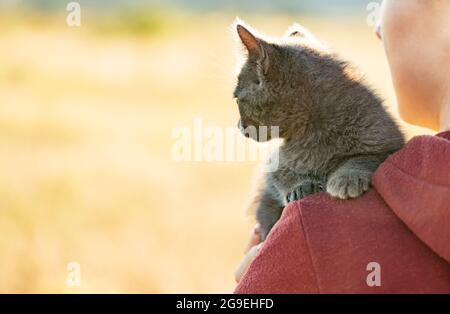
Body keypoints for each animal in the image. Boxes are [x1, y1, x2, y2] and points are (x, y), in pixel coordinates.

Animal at [234, 22, 406, 239]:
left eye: (237, 99)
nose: (239, 125)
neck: (312, 131)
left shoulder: (387, 141)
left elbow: (364, 157)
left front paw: (346, 179)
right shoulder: (273, 165)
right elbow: (280, 175)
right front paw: (301, 186)